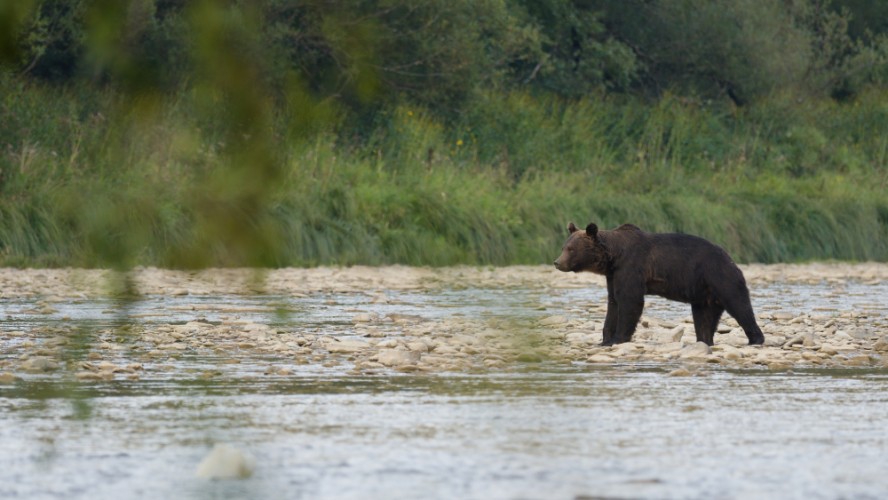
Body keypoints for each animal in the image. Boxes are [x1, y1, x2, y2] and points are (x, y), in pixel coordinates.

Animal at [552, 221, 768, 346]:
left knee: (740, 306)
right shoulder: (613, 275)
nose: (557, 262)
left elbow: (629, 301)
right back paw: (704, 340)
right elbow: (613, 303)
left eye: (571, 249)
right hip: (703, 294)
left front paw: (618, 338)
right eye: (564, 247)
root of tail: (731, 259)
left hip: (720, 277)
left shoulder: (631, 268)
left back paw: (755, 339)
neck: (613, 256)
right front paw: (604, 340)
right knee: (704, 318)